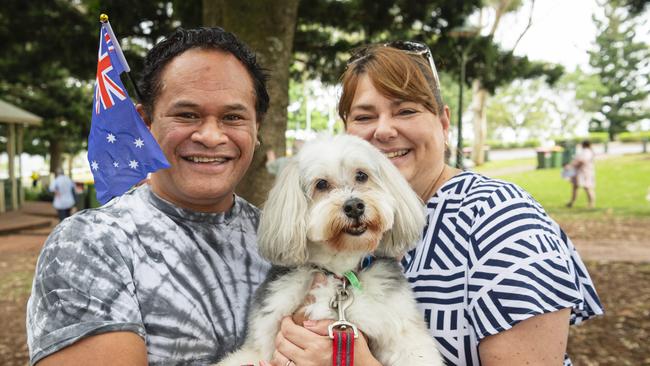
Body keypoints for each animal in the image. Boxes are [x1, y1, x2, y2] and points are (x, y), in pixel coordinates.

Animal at [215, 134, 442, 366]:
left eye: (362, 175)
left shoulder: (402, 331)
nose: (354, 206)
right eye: (321, 184)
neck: (340, 273)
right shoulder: (264, 335)